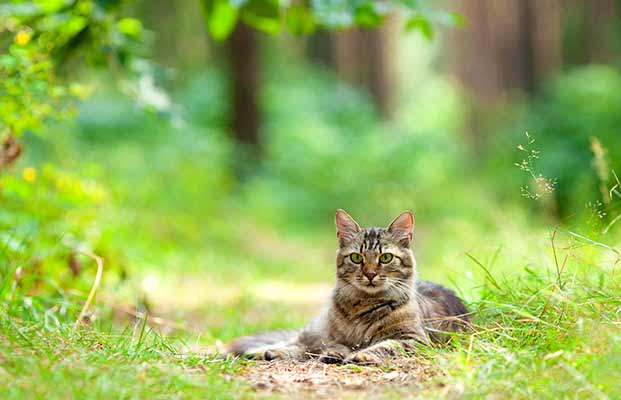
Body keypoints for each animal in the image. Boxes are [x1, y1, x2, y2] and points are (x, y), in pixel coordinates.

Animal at [225, 211, 468, 364]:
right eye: (356, 257)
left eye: (386, 258)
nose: (369, 274)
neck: (362, 305)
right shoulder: (330, 337)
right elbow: (330, 346)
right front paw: (338, 353)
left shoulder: (413, 339)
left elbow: (385, 345)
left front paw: (361, 355)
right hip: (316, 329)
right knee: (295, 342)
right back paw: (264, 352)